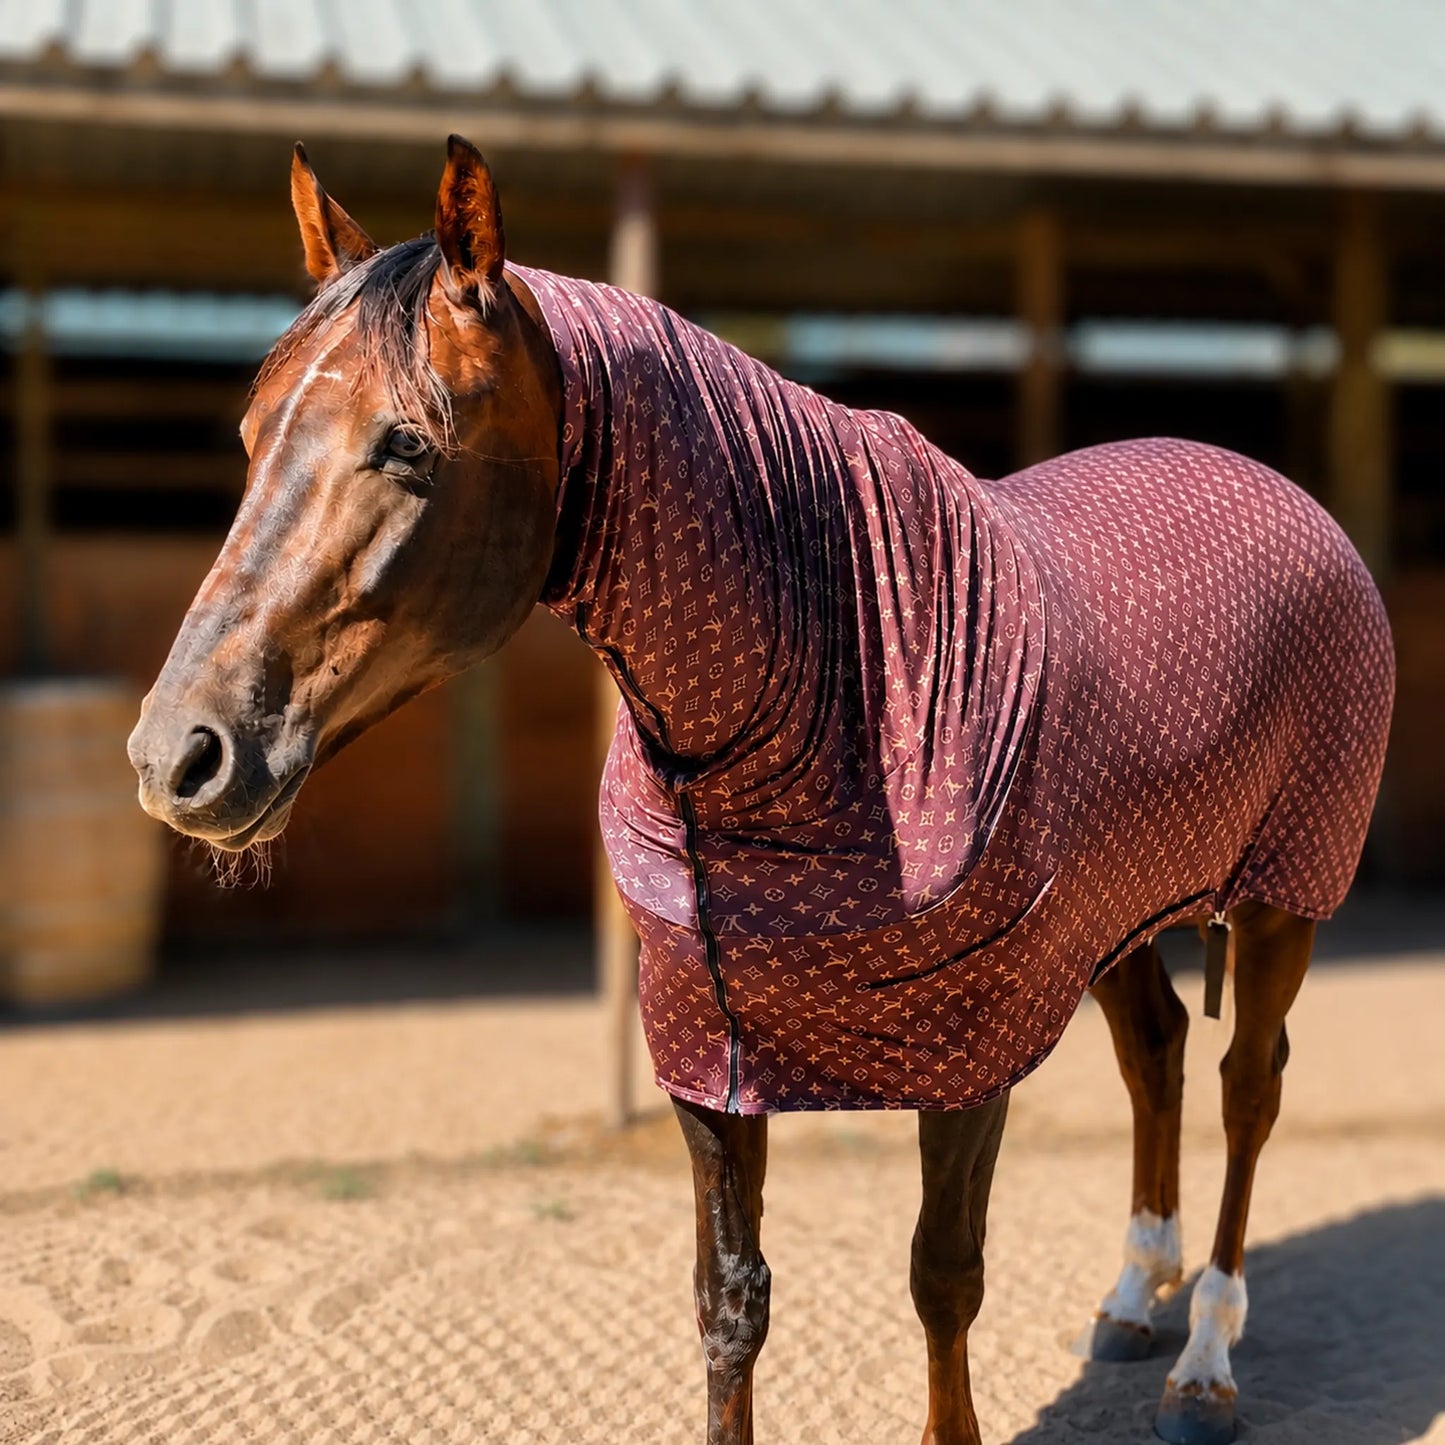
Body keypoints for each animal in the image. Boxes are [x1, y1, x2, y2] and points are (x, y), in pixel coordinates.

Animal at [128, 137, 1394, 1445]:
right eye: (251, 431)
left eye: (406, 445)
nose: (178, 753)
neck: (842, 683)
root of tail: (1282, 493)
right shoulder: (711, 1056)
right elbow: (728, 1301)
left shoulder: (968, 1051)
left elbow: (943, 1275)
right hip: (1119, 914)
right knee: (1154, 1055)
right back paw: (1135, 1298)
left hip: (1278, 900)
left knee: (1246, 1089)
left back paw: (1203, 1360)